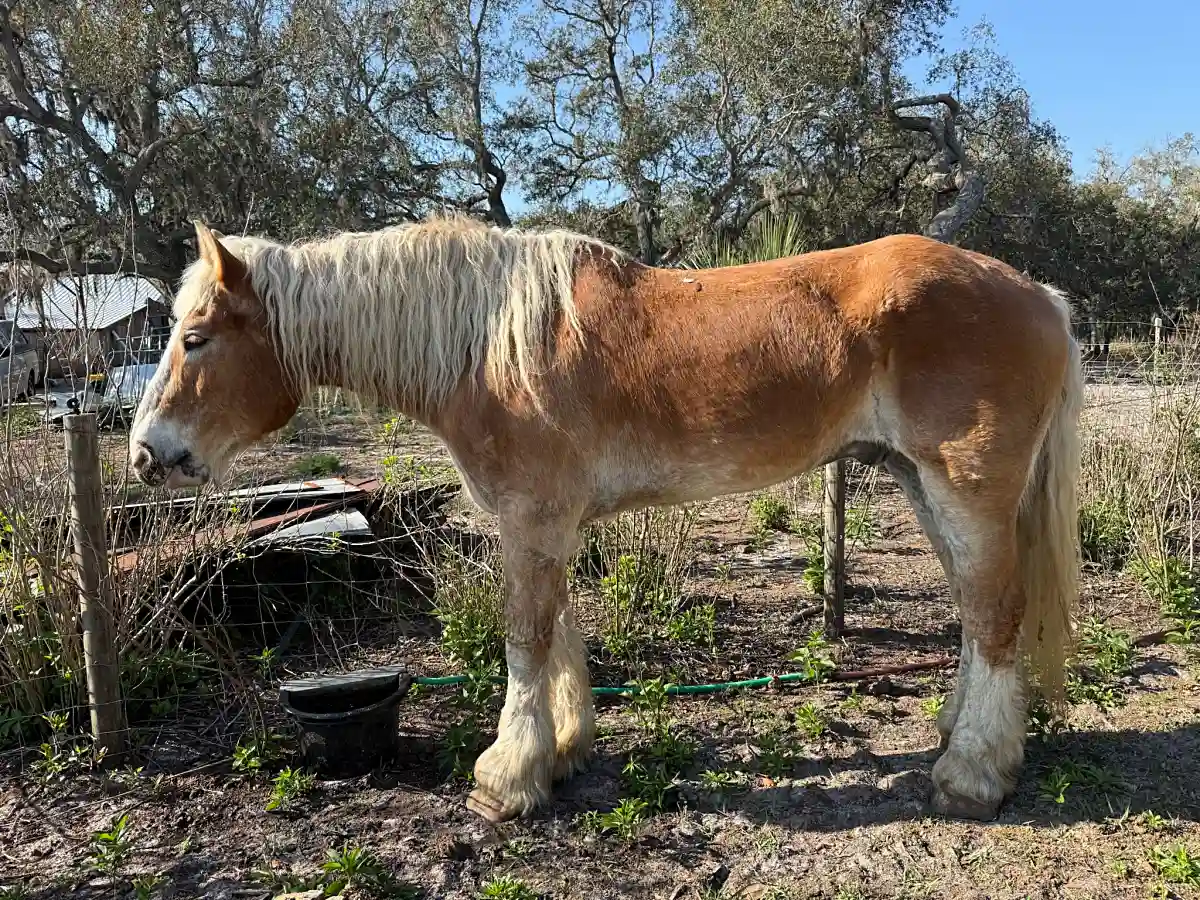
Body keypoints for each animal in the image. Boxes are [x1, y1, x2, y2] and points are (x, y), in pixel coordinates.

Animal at [129, 215, 1082, 824]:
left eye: (197, 338)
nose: (146, 453)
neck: (490, 347)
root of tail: (1042, 295)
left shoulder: (530, 520)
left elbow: (523, 639)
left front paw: (507, 778)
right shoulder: (547, 524)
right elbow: (559, 634)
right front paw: (564, 748)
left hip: (965, 491)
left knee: (996, 618)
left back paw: (971, 775)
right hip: (922, 486)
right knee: (976, 619)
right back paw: (960, 737)